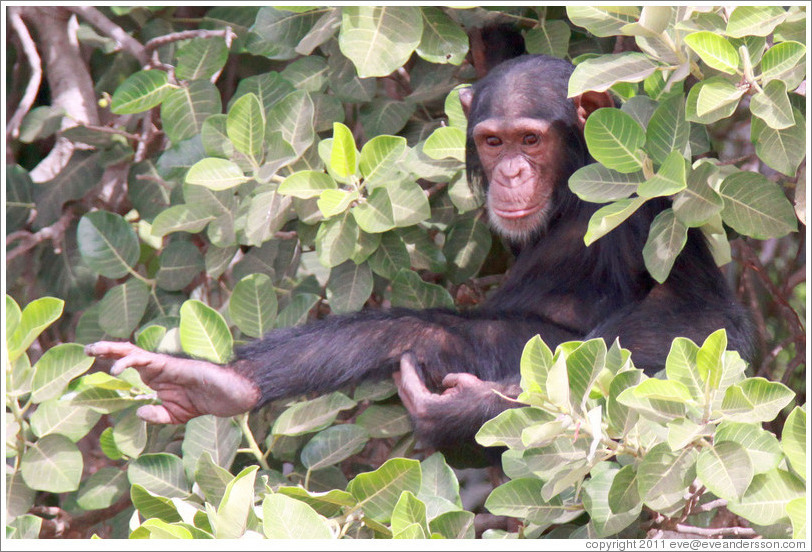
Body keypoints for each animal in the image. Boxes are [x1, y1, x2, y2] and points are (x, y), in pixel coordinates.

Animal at [85, 55, 752, 452]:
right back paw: (219, 384)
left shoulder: (645, 199)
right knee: (434, 333)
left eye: (531, 139)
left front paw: (465, 411)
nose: (510, 172)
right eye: (493, 142)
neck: (570, 191)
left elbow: (694, 317)